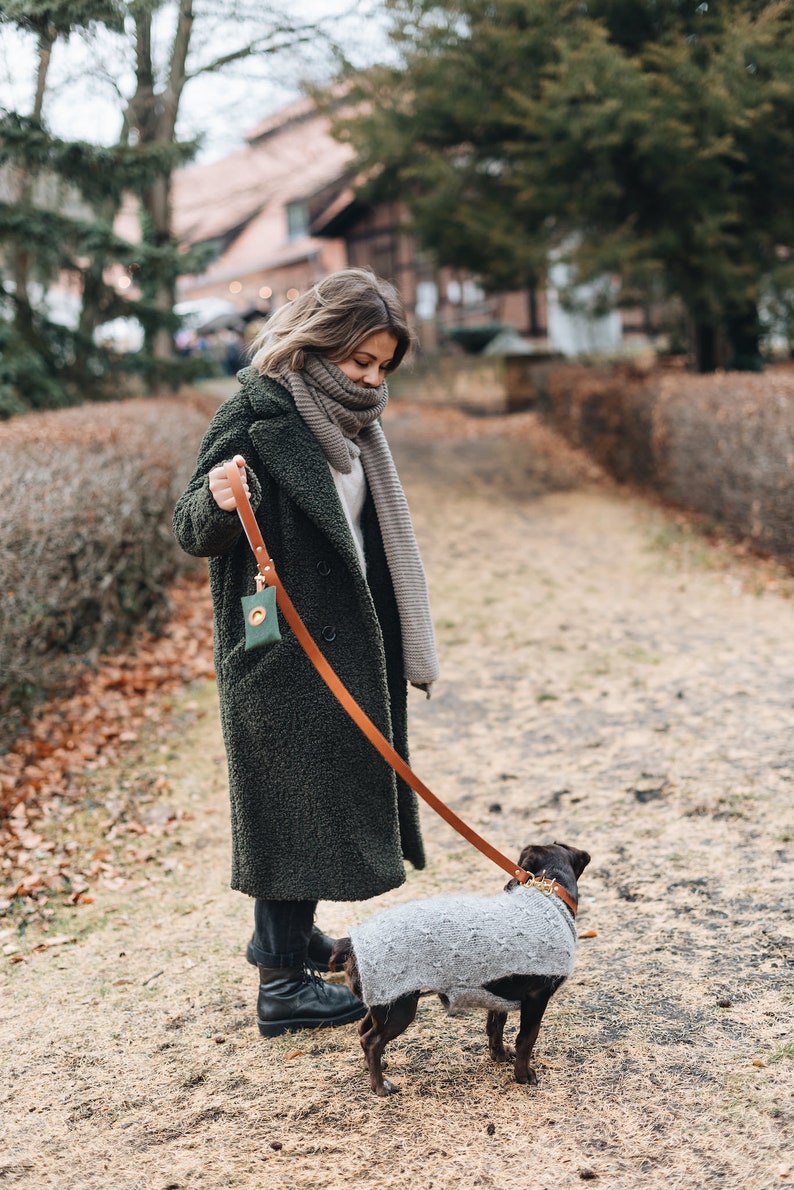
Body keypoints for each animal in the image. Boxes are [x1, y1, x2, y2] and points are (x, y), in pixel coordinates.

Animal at [328, 842, 590, 1090]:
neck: (548, 899)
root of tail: (351, 942)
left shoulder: (498, 994)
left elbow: (496, 1026)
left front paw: (499, 1054)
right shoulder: (537, 998)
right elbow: (526, 1039)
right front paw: (523, 1075)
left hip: (382, 1003)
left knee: (362, 1030)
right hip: (398, 1009)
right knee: (371, 1041)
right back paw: (380, 1086)